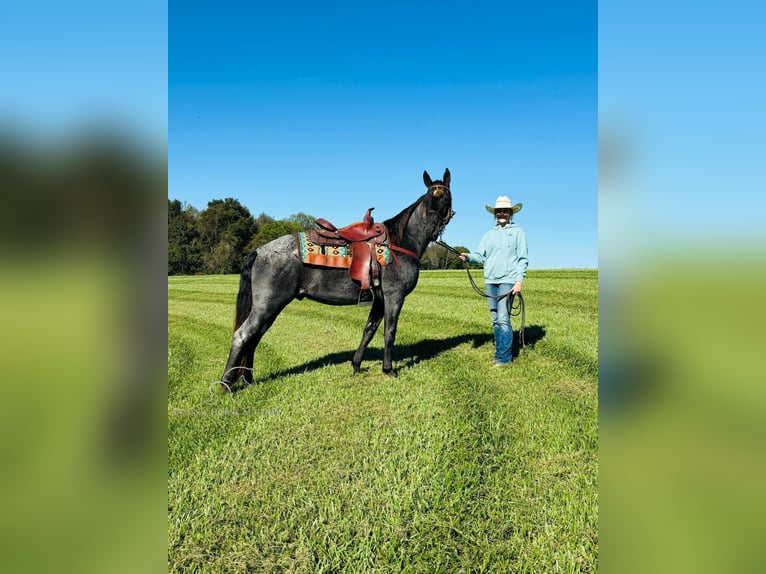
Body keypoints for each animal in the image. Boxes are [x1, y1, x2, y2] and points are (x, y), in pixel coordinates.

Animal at [218, 169, 456, 390]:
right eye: (429, 198)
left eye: (445, 197)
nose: (432, 228)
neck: (400, 243)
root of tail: (258, 251)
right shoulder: (394, 297)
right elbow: (389, 332)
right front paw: (388, 369)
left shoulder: (379, 300)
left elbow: (369, 330)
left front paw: (357, 365)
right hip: (267, 305)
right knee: (243, 336)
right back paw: (226, 383)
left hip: (270, 308)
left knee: (254, 339)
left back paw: (249, 380)